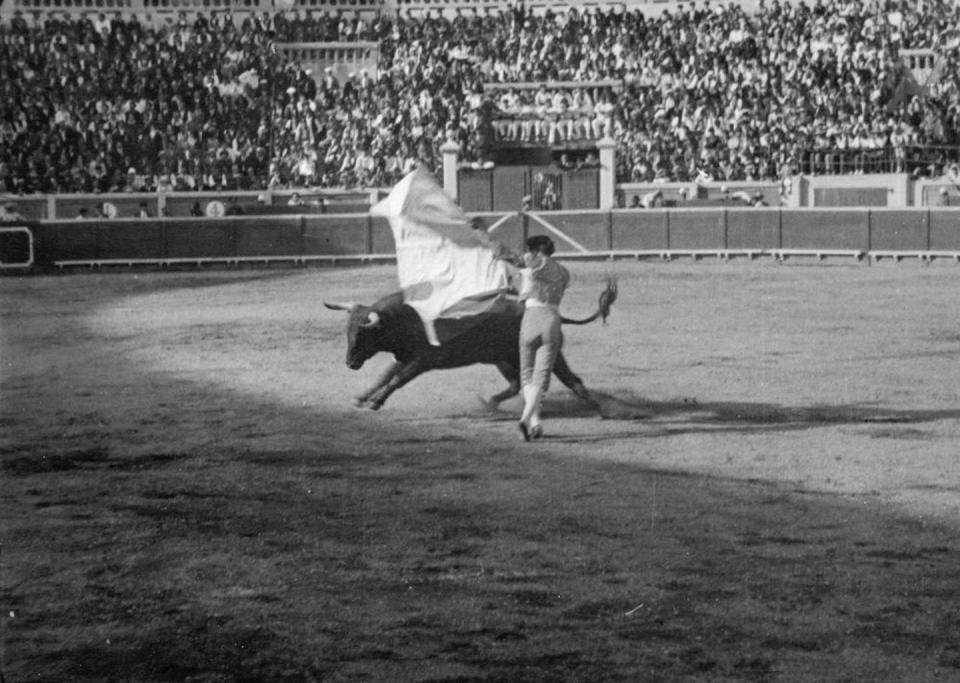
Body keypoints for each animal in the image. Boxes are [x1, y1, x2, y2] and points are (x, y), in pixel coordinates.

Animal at [326, 278, 620, 412]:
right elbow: (383, 377)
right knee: (515, 384)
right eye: (347, 332)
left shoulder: (423, 360)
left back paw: (601, 409)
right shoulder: (403, 356)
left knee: (572, 379)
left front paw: (376, 402)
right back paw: (490, 403)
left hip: (550, 353)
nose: (350, 363)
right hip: (504, 359)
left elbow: (396, 380)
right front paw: (362, 398)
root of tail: (552, 312)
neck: (404, 317)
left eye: (363, 335)